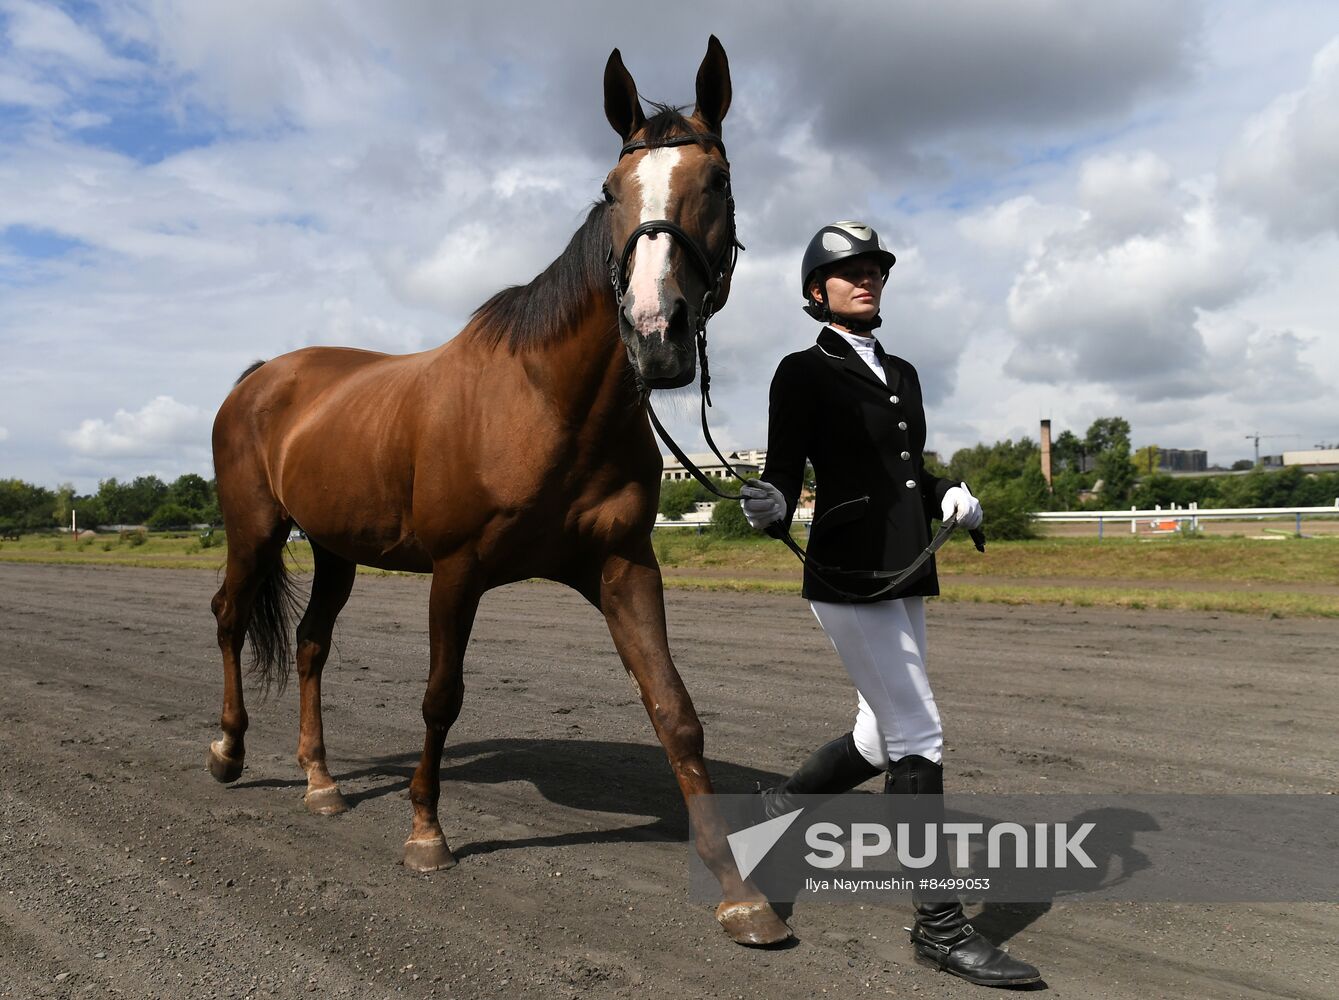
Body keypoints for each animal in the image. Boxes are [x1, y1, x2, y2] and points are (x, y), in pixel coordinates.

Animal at [204, 37, 787, 947]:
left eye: (718, 181)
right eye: (610, 190)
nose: (655, 334)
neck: (548, 403)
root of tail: (262, 376)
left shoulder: (623, 568)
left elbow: (674, 710)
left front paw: (737, 892)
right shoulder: (456, 571)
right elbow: (440, 699)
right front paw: (426, 834)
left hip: (334, 549)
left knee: (309, 645)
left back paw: (321, 783)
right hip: (254, 529)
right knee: (231, 618)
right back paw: (229, 753)